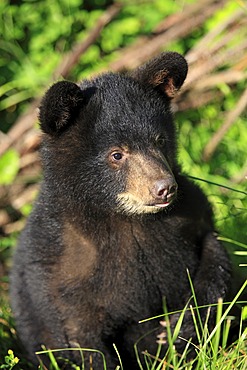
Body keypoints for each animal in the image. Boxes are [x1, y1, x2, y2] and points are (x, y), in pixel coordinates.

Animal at [10, 52, 231, 370]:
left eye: (159, 140)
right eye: (117, 154)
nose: (164, 188)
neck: (127, 220)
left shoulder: (191, 213)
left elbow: (213, 254)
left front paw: (182, 326)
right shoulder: (58, 260)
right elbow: (78, 332)